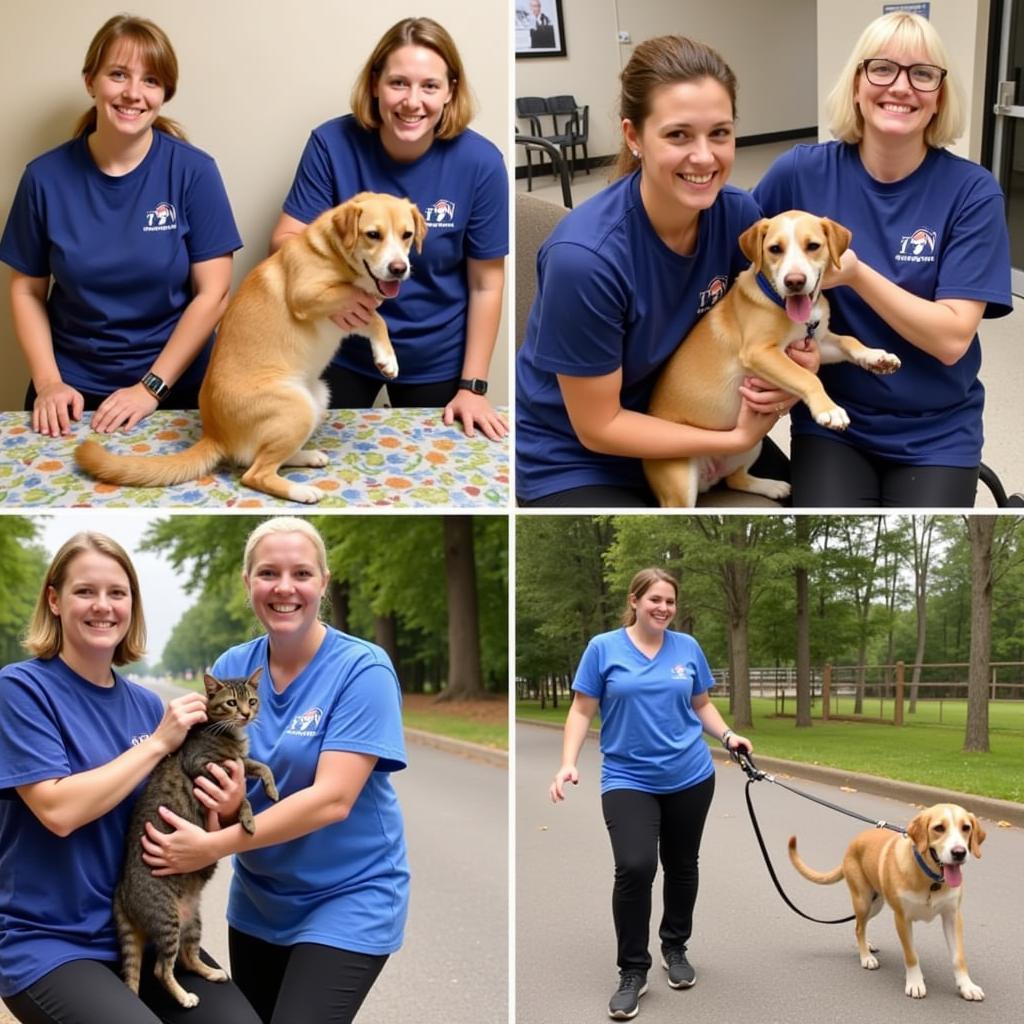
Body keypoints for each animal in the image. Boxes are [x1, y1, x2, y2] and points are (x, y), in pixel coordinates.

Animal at [75, 191, 425, 503]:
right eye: (372, 235)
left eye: (407, 235)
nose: (399, 269)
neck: (334, 252)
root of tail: (215, 434)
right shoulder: (308, 295)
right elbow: (365, 304)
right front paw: (387, 355)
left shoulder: (350, 316)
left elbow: (376, 319)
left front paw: (387, 359)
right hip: (296, 408)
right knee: (255, 473)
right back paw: (301, 491)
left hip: (317, 397)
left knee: (267, 457)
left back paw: (306, 455)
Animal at [115, 663, 278, 1007]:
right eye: (230, 703)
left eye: (252, 701)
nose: (246, 714)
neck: (227, 733)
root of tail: (121, 893)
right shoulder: (207, 767)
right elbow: (243, 793)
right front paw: (249, 819)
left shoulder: (238, 763)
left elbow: (260, 766)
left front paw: (271, 790)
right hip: (167, 920)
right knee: (162, 968)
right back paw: (184, 996)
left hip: (191, 922)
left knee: (188, 957)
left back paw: (213, 972)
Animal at [643, 210, 901, 507]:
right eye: (775, 249)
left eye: (813, 246)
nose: (794, 281)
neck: (781, 303)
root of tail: (709, 476)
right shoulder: (759, 352)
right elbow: (807, 378)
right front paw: (829, 410)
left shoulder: (817, 341)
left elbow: (848, 341)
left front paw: (877, 357)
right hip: (681, 480)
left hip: (748, 445)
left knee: (735, 479)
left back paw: (772, 486)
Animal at [786, 802, 987, 995]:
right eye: (939, 828)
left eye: (966, 827)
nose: (959, 853)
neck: (930, 879)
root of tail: (852, 844)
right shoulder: (902, 919)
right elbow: (911, 955)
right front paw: (915, 982)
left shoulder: (952, 917)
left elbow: (958, 957)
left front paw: (966, 986)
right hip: (863, 901)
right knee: (859, 927)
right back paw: (866, 956)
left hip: (876, 904)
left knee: (859, 926)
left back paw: (866, 945)